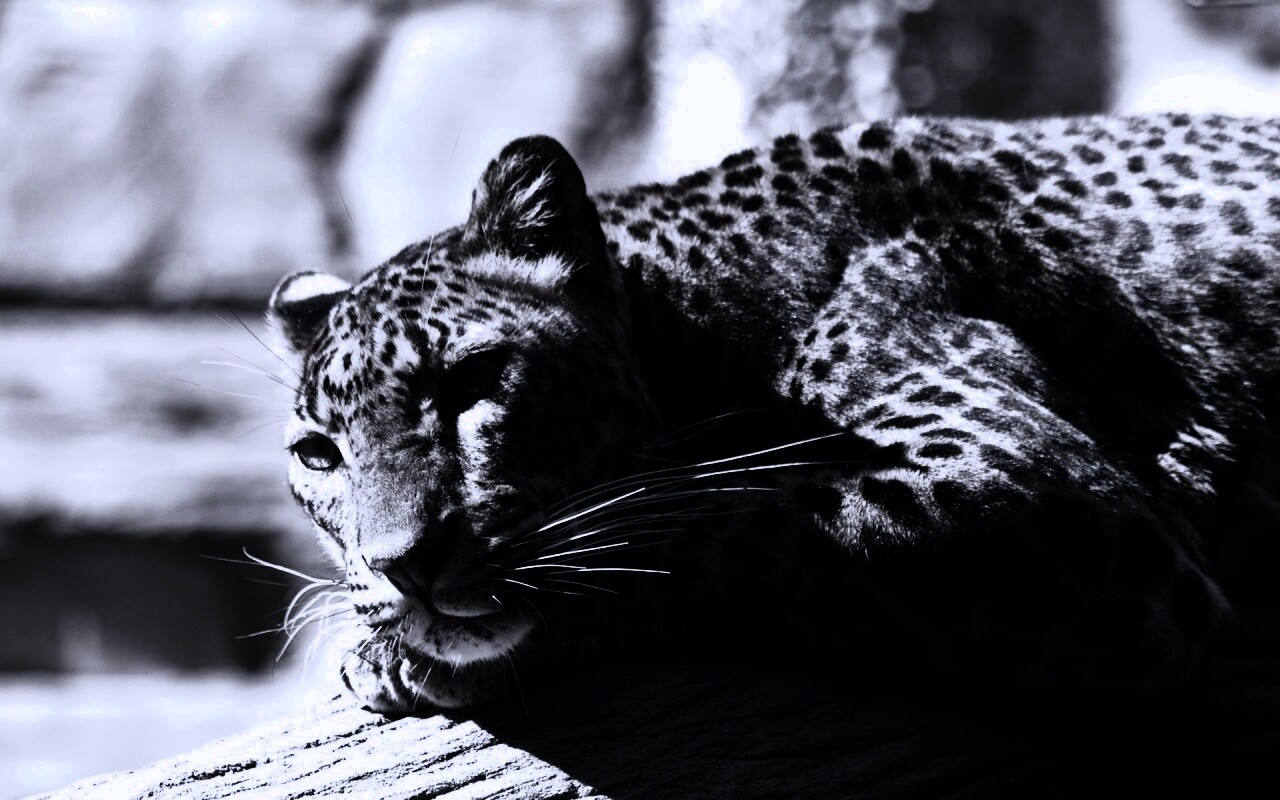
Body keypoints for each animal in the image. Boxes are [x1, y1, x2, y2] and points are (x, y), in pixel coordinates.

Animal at [268, 114, 1280, 714]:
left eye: (474, 379)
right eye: (318, 456)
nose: (404, 566)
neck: (697, 322)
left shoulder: (1046, 496)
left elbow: (722, 527)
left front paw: (395, 654)